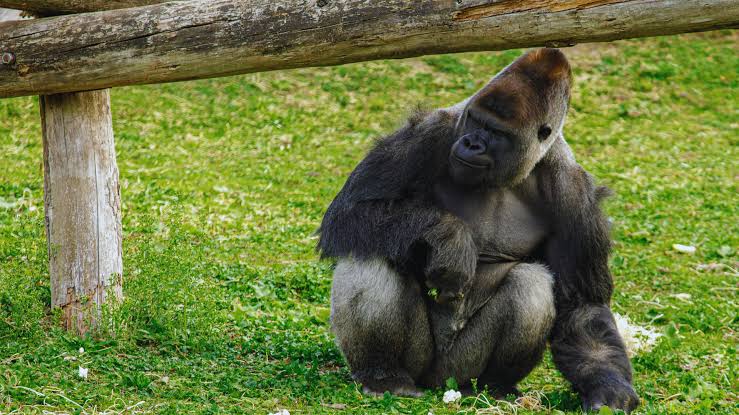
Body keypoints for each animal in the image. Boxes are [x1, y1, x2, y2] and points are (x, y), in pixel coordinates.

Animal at [317, 48, 639, 413]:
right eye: (476, 122)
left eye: (496, 132)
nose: (471, 143)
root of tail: (438, 383)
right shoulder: (430, 131)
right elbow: (351, 211)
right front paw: (450, 236)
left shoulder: (575, 194)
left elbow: (583, 306)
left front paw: (608, 386)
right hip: (420, 363)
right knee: (372, 249)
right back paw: (383, 375)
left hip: (461, 368)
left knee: (531, 284)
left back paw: (493, 387)